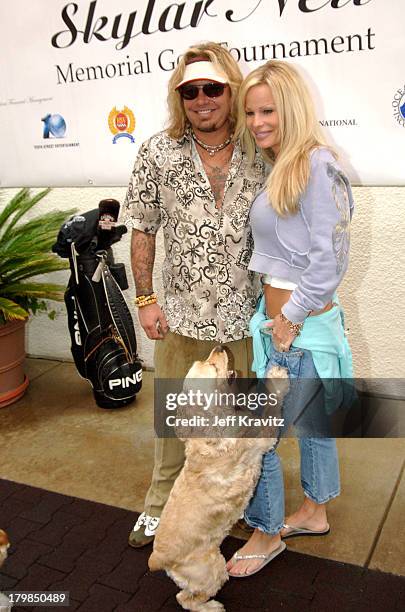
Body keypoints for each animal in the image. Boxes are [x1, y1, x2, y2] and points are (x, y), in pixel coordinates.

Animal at [148, 346, 288, 608]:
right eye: (213, 367)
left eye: (206, 359)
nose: (220, 347)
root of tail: (156, 559)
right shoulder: (261, 440)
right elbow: (272, 405)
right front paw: (277, 377)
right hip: (212, 570)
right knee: (188, 599)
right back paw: (213, 607)